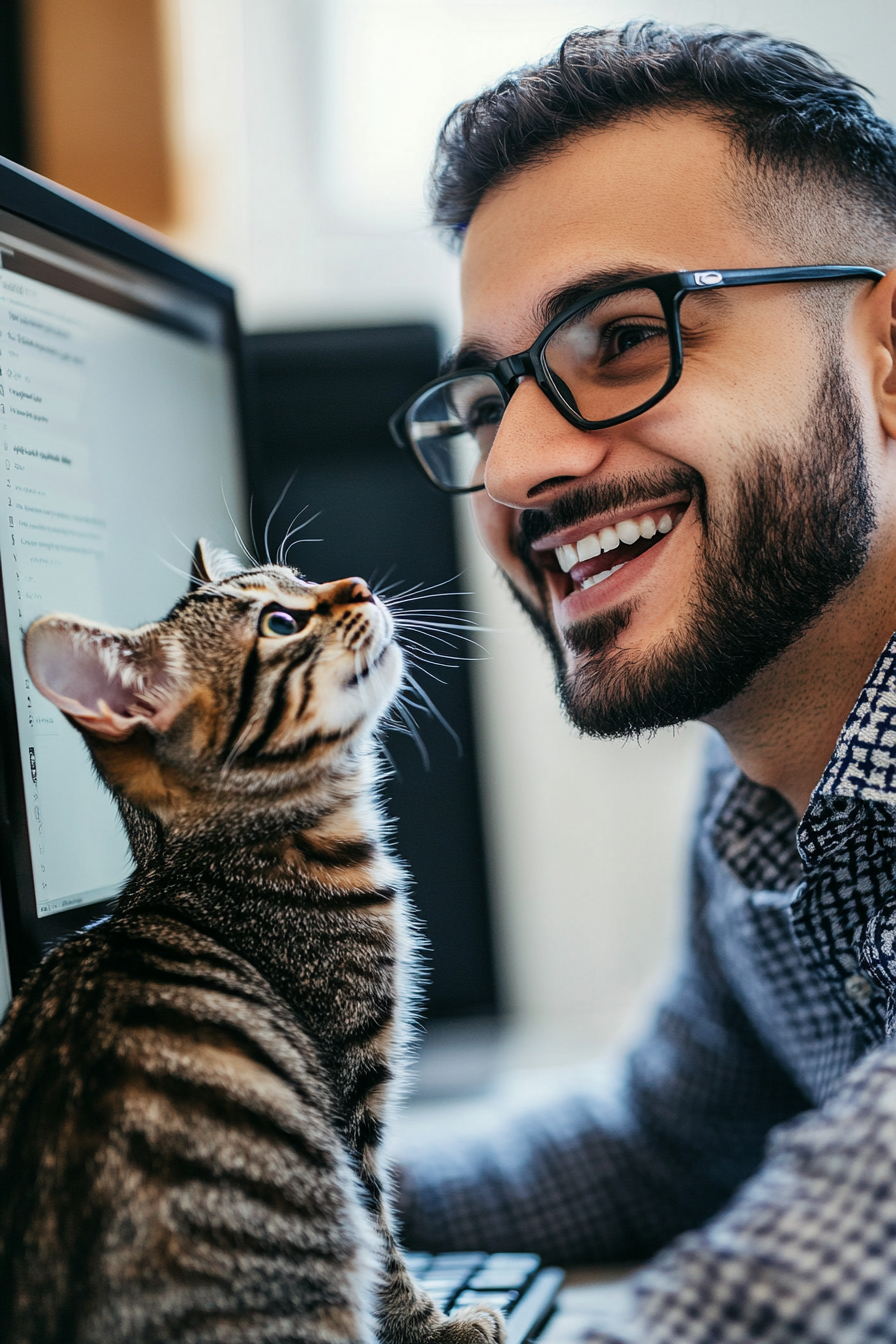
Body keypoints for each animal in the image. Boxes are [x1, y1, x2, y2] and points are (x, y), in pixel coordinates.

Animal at [0, 540, 505, 1344]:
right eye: (279, 622)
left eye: (300, 576)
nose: (358, 583)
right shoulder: (347, 1095)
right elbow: (380, 1239)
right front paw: (437, 1326)